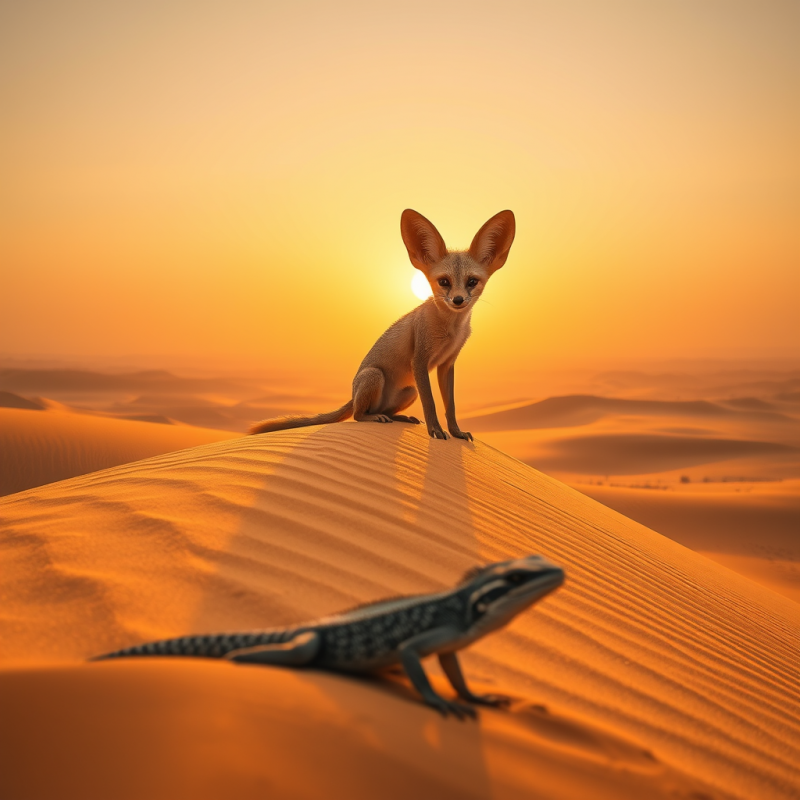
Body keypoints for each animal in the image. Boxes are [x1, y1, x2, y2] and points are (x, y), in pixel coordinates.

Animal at [249, 209, 515, 441]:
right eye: (444, 282)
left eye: (472, 282)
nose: (458, 300)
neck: (451, 330)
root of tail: (354, 396)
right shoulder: (419, 360)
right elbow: (431, 404)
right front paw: (436, 432)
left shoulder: (447, 364)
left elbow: (450, 406)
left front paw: (456, 432)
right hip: (375, 376)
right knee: (358, 415)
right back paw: (375, 417)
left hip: (409, 390)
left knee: (382, 412)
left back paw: (399, 418)